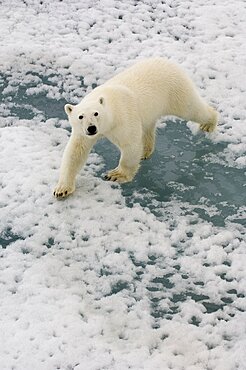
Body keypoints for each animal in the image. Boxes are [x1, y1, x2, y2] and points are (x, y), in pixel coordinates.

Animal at [53, 57, 217, 198]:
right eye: (80, 116)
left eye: (96, 113)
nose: (91, 128)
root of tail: (168, 62)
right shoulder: (82, 133)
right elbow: (75, 152)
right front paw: (61, 189)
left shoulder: (123, 117)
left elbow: (130, 144)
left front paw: (115, 175)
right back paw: (145, 151)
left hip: (175, 91)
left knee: (192, 109)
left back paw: (209, 122)